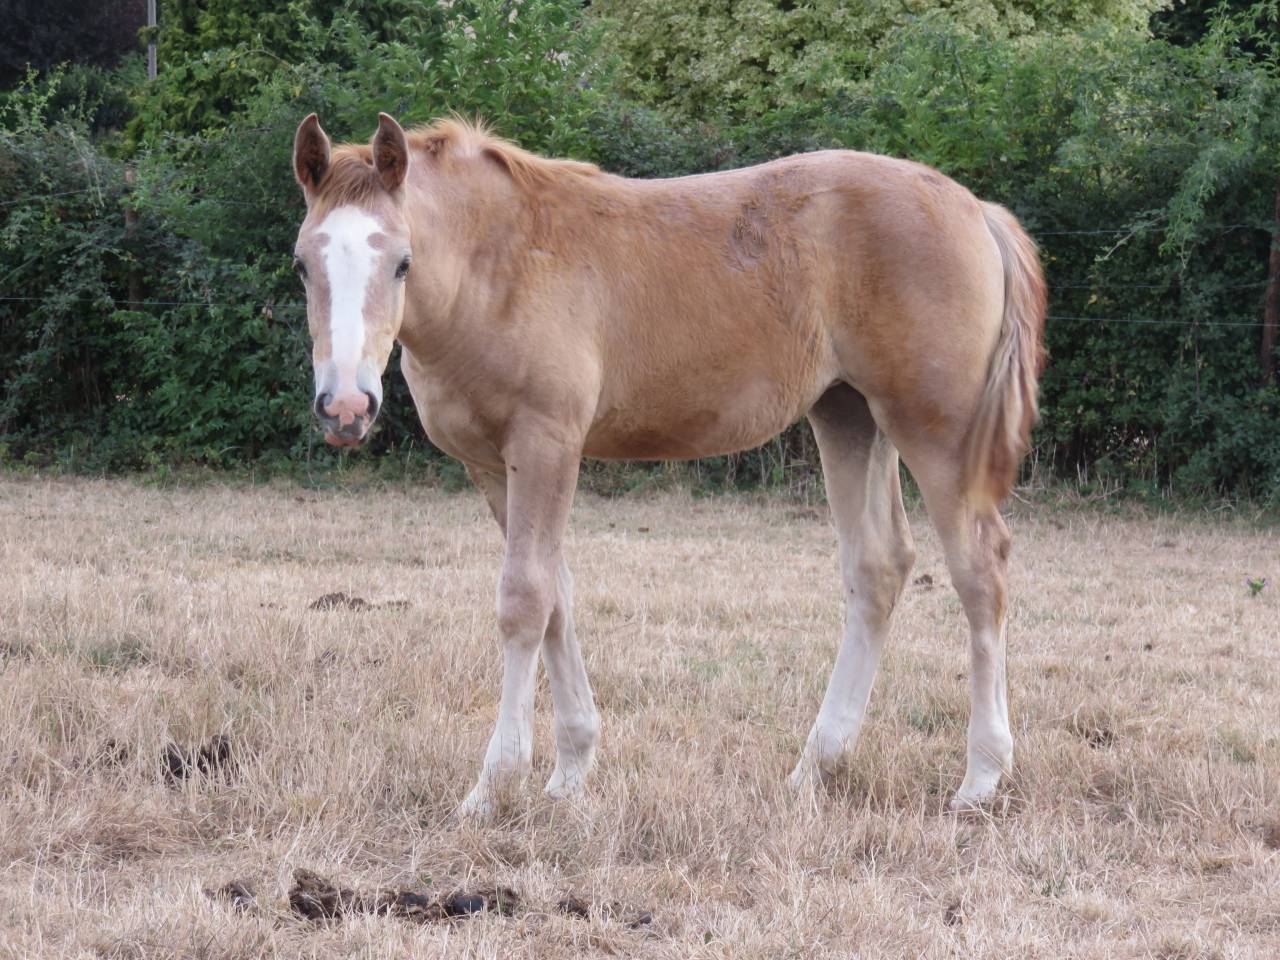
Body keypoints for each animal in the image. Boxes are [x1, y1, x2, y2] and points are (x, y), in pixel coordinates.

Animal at [290, 112, 1046, 818]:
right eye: (302, 263)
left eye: (402, 261)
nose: (347, 406)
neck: (497, 265)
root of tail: (975, 209)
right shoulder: (491, 464)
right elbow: (557, 597)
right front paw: (569, 771)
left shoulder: (545, 442)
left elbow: (525, 601)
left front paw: (492, 785)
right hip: (849, 414)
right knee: (879, 566)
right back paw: (814, 768)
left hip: (934, 429)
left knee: (980, 569)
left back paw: (981, 776)